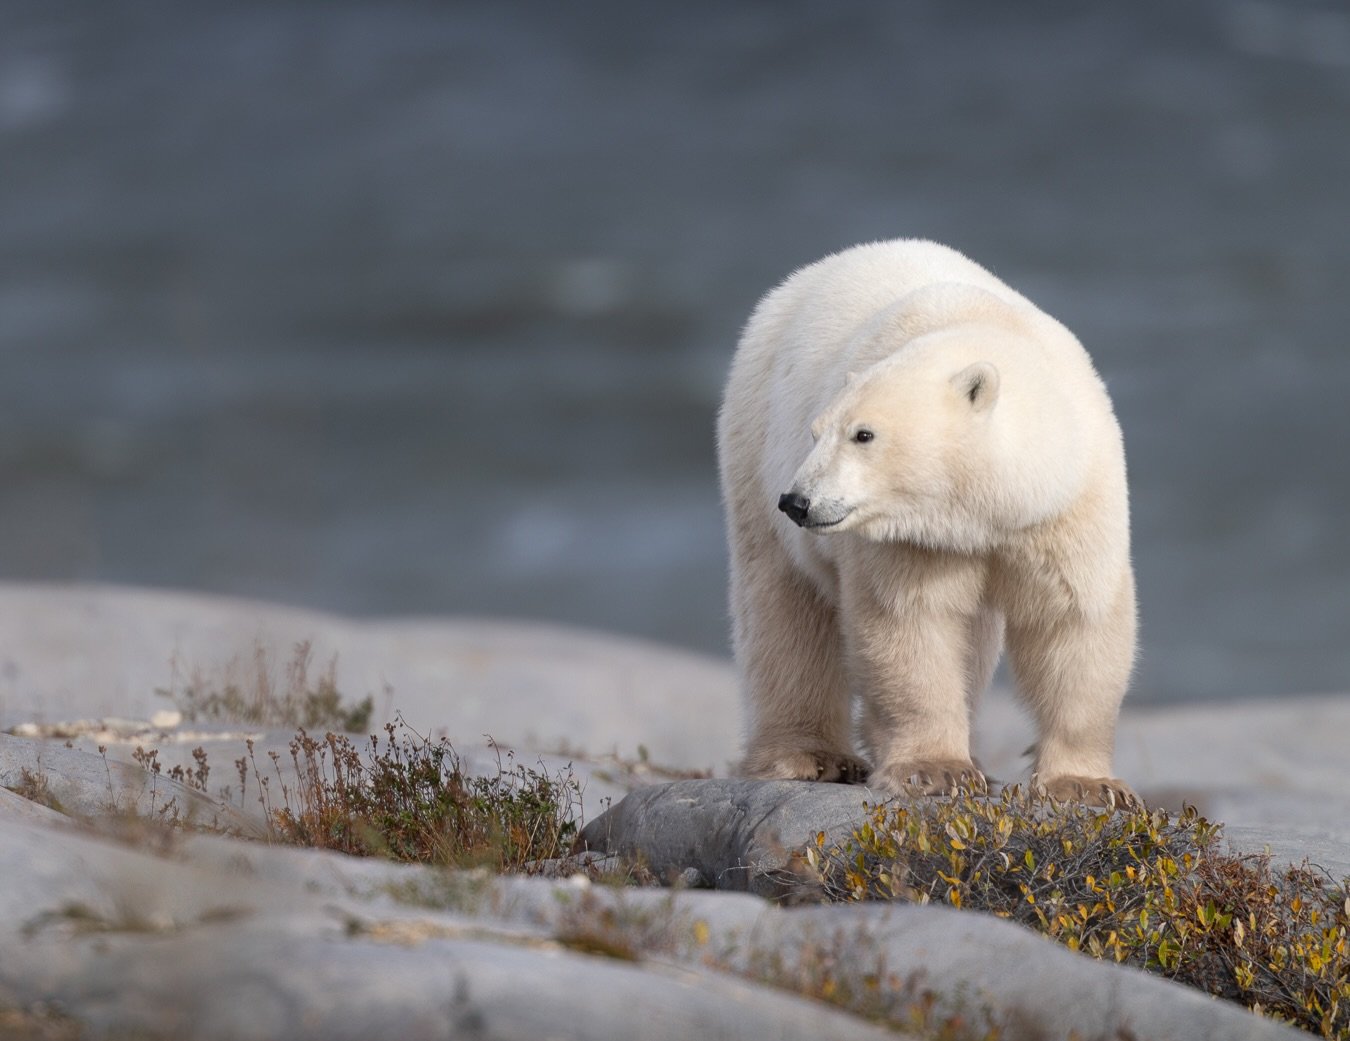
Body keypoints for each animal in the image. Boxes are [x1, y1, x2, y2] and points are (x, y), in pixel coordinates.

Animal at [716, 239, 1137, 807]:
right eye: (816, 433)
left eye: (863, 434)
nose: (798, 501)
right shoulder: (911, 537)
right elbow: (910, 621)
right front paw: (934, 770)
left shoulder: (1067, 507)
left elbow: (1074, 622)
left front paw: (1086, 784)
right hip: (754, 440)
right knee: (783, 607)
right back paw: (808, 757)